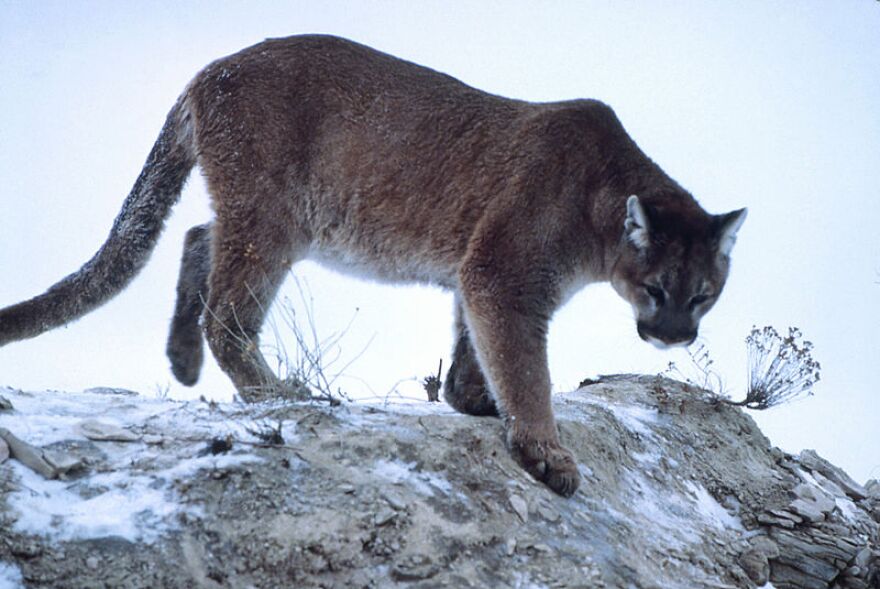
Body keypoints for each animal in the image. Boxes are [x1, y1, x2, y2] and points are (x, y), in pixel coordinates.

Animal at [0, 35, 744, 496]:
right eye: (657, 289)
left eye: (704, 295)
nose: (675, 336)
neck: (599, 205)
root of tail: (210, 69)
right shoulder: (504, 273)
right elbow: (526, 366)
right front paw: (546, 451)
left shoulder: (479, 272)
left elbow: (477, 344)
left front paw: (472, 398)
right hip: (274, 217)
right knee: (227, 313)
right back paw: (279, 391)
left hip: (270, 218)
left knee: (197, 235)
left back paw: (182, 360)